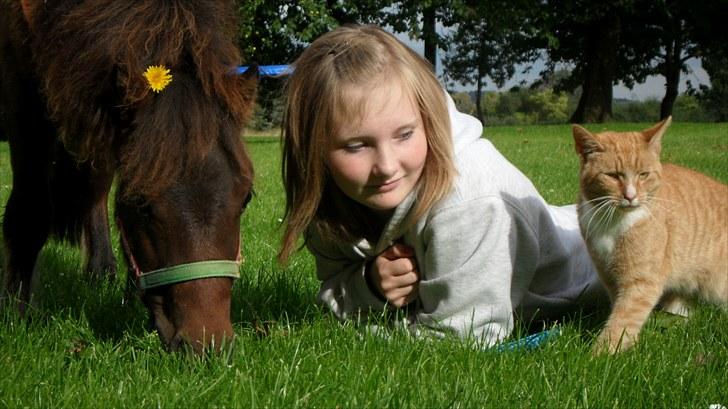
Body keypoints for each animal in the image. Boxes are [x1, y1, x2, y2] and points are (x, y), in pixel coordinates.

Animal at [0, 0, 258, 352]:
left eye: (245, 198)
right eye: (140, 203)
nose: (208, 344)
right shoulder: (23, 90)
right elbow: (30, 212)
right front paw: (17, 311)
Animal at [576, 116, 728, 352]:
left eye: (643, 174)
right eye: (612, 176)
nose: (630, 196)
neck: (615, 220)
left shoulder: (641, 281)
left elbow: (624, 319)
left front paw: (602, 354)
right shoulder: (608, 275)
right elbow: (619, 310)